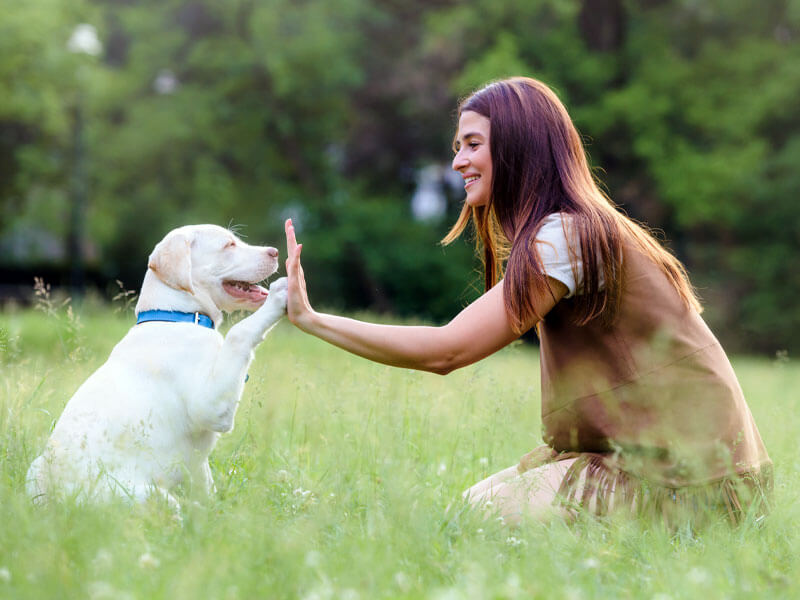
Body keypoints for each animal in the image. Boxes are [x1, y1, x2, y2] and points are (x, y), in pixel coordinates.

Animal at [26, 223, 290, 508]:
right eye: (228, 245)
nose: (275, 252)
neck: (177, 317)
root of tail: (57, 500)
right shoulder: (210, 405)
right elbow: (239, 333)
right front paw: (280, 296)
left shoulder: (198, 461)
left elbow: (204, 481)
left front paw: (214, 511)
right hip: (144, 495)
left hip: (35, 468)